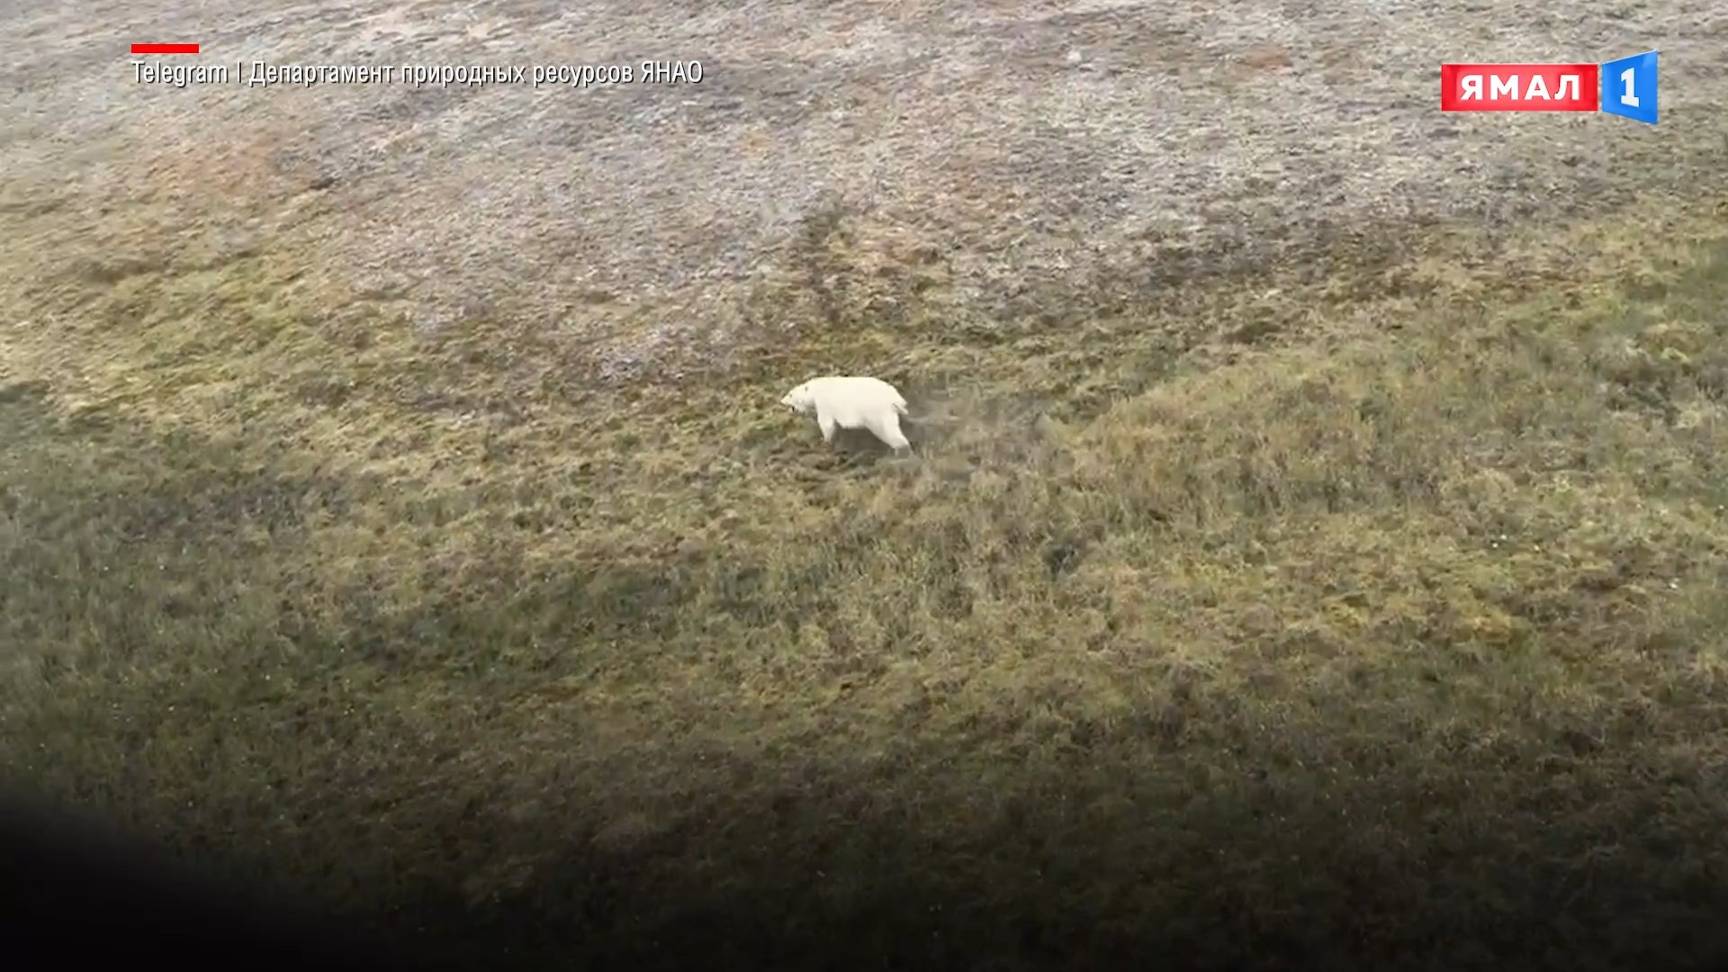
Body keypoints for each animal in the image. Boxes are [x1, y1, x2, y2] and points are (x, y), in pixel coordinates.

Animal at [784, 377, 919, 456]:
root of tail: (893, 399)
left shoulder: (825, 403)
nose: (782, 401)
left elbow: (827, 424)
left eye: (790, 394)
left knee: (887, 432)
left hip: (876, 413)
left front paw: (824, 441)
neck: (817, 389)